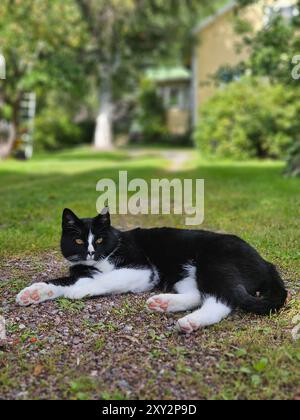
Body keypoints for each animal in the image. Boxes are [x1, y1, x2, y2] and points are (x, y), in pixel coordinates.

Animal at [15, 208, 288, 334]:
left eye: (100, 240)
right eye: (80, 241)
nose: (91, 252)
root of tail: (266, 262)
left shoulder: (143, 271)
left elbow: (108, 278)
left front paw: (81, 291)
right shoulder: (81, 270)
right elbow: (63, 281)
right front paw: (33, 293)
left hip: (216, 263)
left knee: (221, 300)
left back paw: (190, 321)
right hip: (186, 274)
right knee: (197, 295)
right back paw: (164, 303)